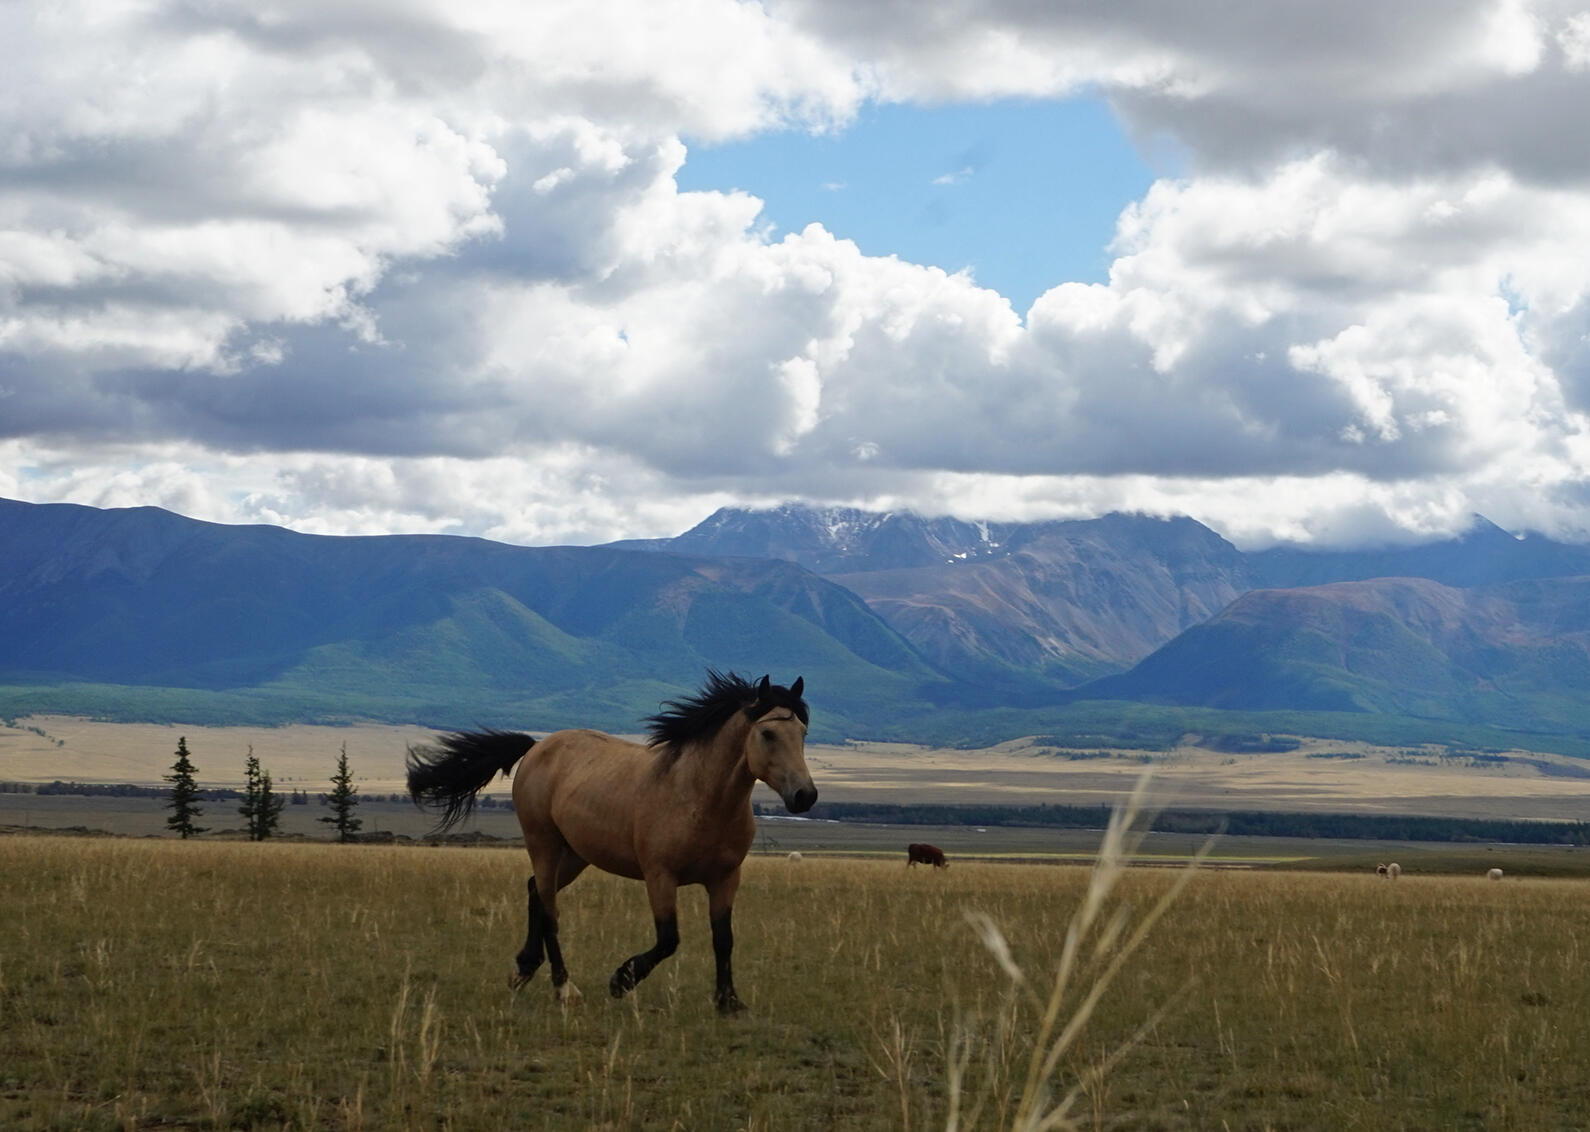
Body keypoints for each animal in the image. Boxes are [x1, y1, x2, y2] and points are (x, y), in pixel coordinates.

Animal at [403, 670, 814, 1017]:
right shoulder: (660, 876)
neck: (698, 796)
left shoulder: (726, 878)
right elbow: (669, 939)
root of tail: (537, 747)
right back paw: (564, 989)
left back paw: (523, 969)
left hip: (574, 854)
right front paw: (621, 980)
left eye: (804, 733)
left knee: (535, 892)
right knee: (549, 910)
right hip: (544, 844)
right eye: (768, 734)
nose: (805, 795)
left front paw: (728, 1001)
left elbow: (723, 939)